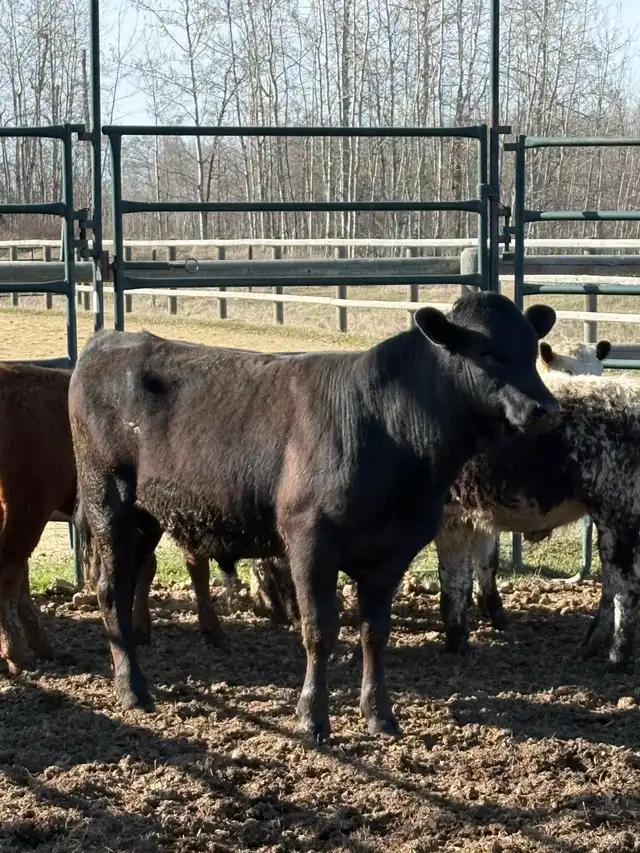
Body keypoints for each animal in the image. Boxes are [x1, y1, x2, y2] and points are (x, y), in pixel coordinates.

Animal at [69, 291, 558, 740]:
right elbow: (320, 630)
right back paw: (132, 689)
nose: (546, 409)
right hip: (108, 499)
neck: (389, 426)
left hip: (146, 517)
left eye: (532, 348)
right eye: (487, 352)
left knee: (130, 579)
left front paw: (379, 714)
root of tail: (110, 340)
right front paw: (312, 716)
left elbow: (374, 632)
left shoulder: (393, 552)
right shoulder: (309, 541)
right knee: (111, 588)